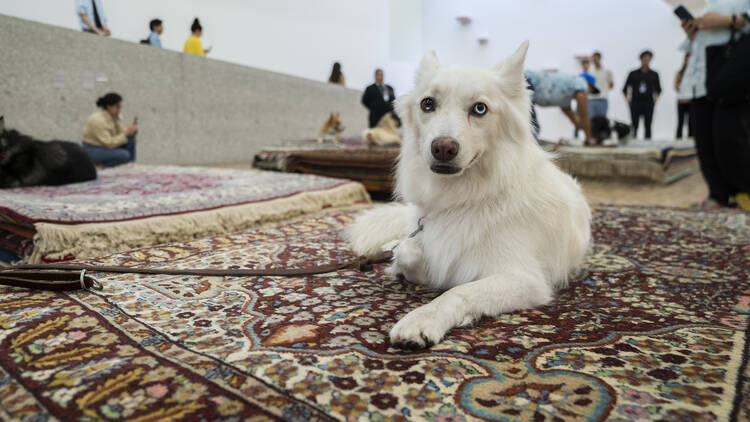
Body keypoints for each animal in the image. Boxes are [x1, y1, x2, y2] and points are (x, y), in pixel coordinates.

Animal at [348, 41, 592, 348]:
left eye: (479, 108)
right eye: (427, 103)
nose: (443, 148)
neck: (463, 198)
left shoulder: (524, 278)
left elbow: (457, 291)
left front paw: (422, 319)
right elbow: (410, 251)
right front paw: (404, 260)